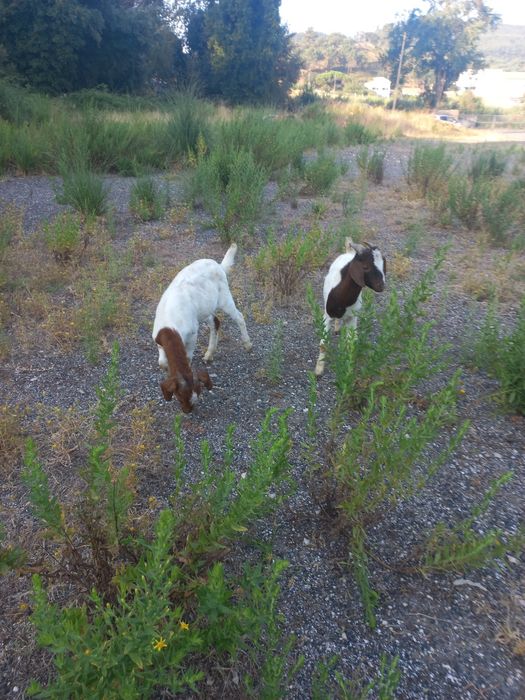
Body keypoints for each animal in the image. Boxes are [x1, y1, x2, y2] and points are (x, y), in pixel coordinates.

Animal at [152, 243, 252, 413]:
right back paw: (209, 353)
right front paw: (167, 371)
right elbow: (162, 362)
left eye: (198, 394)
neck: (170, 327)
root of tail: (219, 266)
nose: (188, 411)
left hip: (224, 297)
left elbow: (187, 357)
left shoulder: (192, 333)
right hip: (205, 308)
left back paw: (247, 344)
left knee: (239, 317)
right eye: (179, 398)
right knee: (215, 321)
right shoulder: (159, 340)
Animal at [314, 239, 386, 376]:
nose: (381, 286)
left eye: (384, 266)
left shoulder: (352, 317)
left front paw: (349, 368)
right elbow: (323, 344)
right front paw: (318, 370)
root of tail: (349, 252)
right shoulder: (326, 316)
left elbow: (351, 344)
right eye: (365, 267)